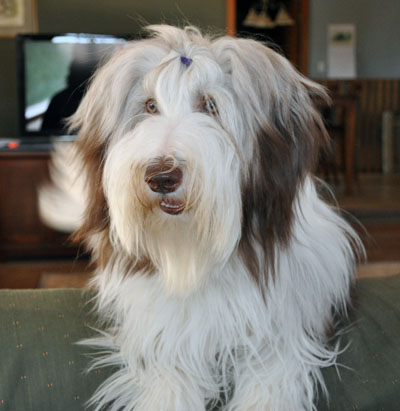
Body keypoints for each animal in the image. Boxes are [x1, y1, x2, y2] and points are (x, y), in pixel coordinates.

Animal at [39, 26, 360, 411]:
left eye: (210, 106)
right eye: (150, 107)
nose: (161, 177)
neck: (192, 248)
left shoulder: (286, 328)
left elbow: (273, 376)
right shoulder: (163, 330)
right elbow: (169, 377)